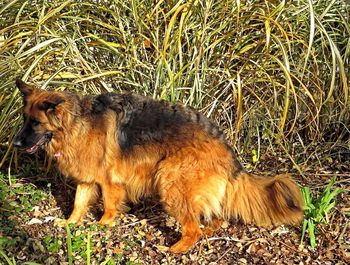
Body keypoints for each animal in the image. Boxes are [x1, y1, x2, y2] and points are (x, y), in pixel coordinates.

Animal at [13, 79, 304, 253]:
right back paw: (208, 229)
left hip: (170, 182)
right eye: (25, 120)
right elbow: (78, 202)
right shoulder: (87, 179)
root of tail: (223, 143)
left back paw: (177, 248)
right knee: (215, 216)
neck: (76, 122)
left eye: (35, 123)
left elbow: (108, 205)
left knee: (192, 228)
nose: (14, 143)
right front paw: (70, 223)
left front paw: (103, 225)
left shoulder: (109, 181)